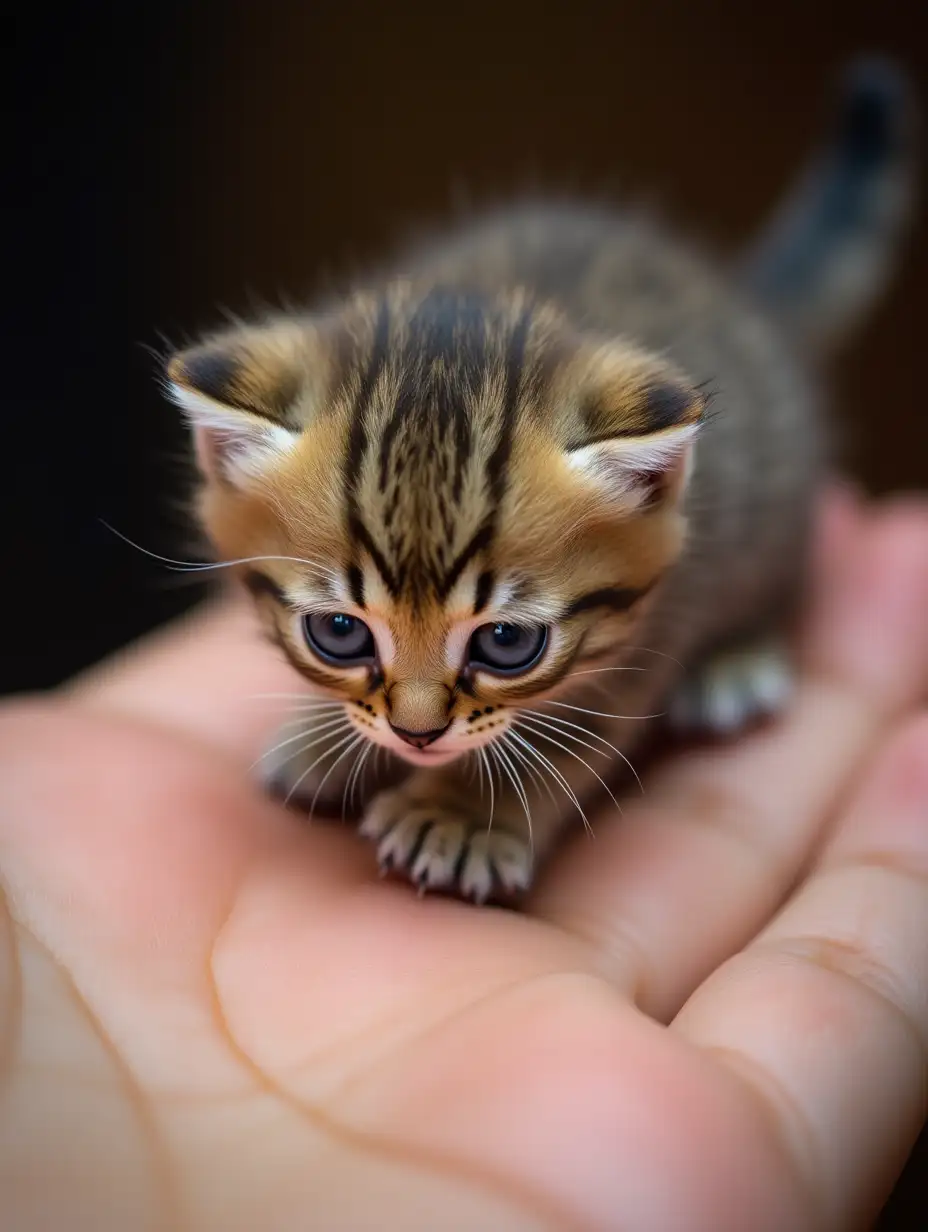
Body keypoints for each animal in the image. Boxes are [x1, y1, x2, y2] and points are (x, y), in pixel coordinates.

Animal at [165, 57, 911, 906]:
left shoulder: (654, 628)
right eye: (339, 631)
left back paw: (736, 660)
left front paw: (461, 816)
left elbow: (565, 738)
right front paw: (325, 737)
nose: (417, 734)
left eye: (507, 643)